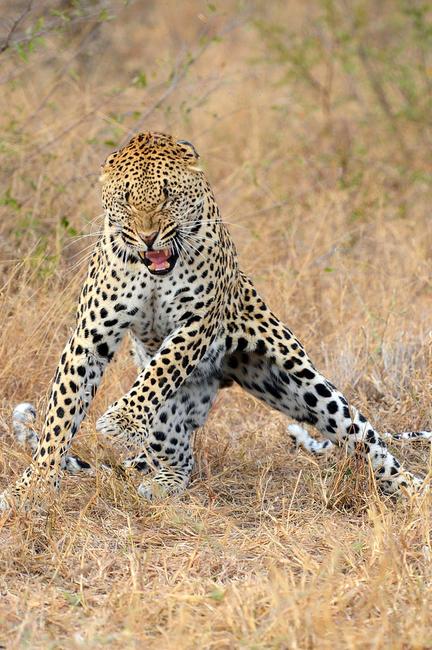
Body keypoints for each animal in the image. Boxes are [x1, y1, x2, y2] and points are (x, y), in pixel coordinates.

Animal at [1, 130, 430, 506]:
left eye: (168, 196)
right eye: (125, 200)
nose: (148, 237)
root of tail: (225, 376)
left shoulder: (197, 323)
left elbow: (160, 368)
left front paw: (121, 422)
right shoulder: (90, 336)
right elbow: (62, 413)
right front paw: (35, 486)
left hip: (303, 382)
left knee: (364, 437)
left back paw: (412, 489)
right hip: (181, 410)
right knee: (177, 453)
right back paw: (165, 481)